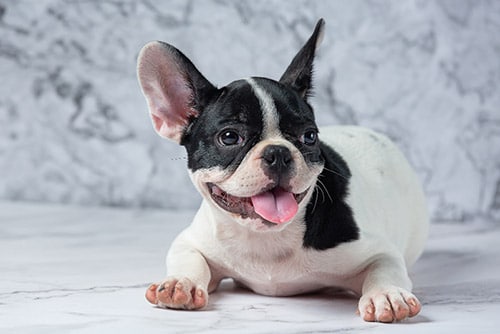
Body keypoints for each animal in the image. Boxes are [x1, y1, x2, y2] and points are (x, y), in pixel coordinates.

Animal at [138, 19, 430, 322]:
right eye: (229, 137)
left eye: (310, 136)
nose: (278, 152)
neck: (265, 238)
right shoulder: (192, 241)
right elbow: (188, 258)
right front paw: (179, 283)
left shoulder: (378, 250)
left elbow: (385, 267)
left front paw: (388, 295)